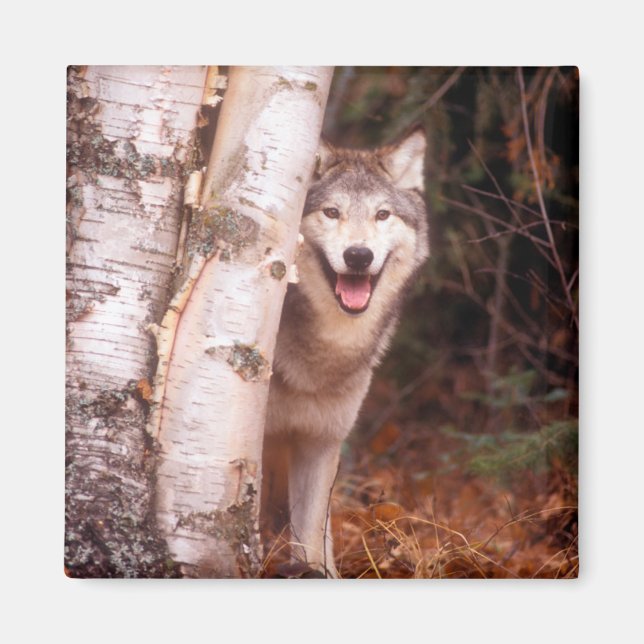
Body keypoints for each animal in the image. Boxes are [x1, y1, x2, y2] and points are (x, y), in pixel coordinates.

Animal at [262, 127, 429, 577]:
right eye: (331, 212)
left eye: (382, 215)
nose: (358, 255)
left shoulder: (321, 443)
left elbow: (313, 537)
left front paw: (316, 572)